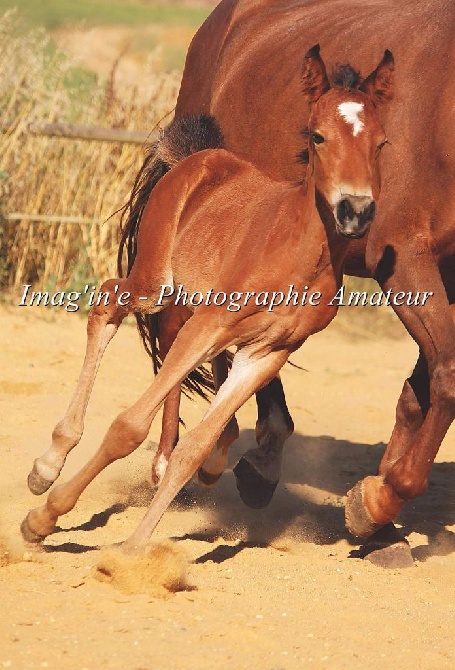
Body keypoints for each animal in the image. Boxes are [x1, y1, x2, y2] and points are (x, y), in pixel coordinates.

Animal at [21, 46, 394, 552]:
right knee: (107, 302)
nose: (355, 210)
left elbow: (196, 445)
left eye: (381, 144)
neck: (299, 255)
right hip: (154, 282)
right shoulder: (210, 325)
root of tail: (197, 157)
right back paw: (48, 463)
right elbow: (128, 426)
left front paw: (133, 549)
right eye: (319, 136)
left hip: (188, 305)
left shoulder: (268, 352)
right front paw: (44, 518)